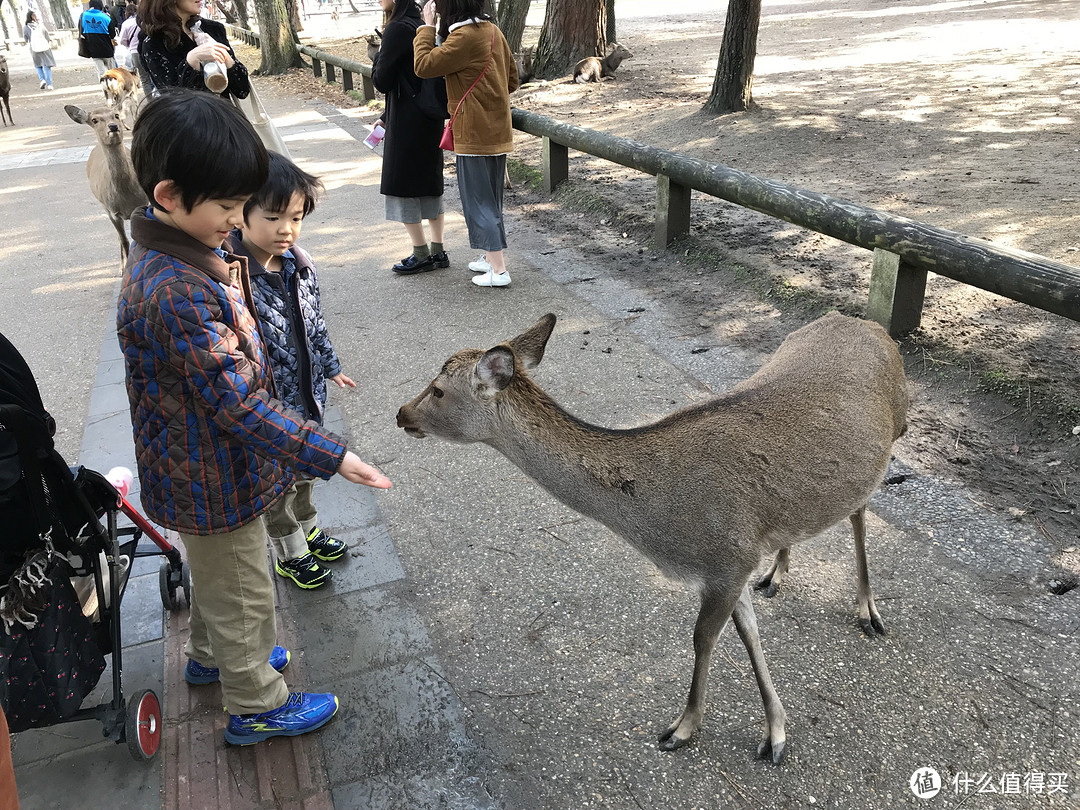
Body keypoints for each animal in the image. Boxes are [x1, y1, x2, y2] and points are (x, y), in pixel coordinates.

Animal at [63, 103, 147, 270]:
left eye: (116, 115)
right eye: (94, 120)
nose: (113, 126)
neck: (127, 197)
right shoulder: (112, 212)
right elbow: (124, 241)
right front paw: (125, 267)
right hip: (104, 206)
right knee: (121, 238)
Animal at [395, 311, 902, 760]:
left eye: (438, 389)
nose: (400, 413)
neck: (660, 523)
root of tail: (869, 325)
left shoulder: (726, 559)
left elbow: (703, 638)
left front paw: (684, 729)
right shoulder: (737, 562)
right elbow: (749, 634)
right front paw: (775, 728)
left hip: (894, 435)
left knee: (860, 510)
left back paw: (868, 610)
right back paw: (779, 574)